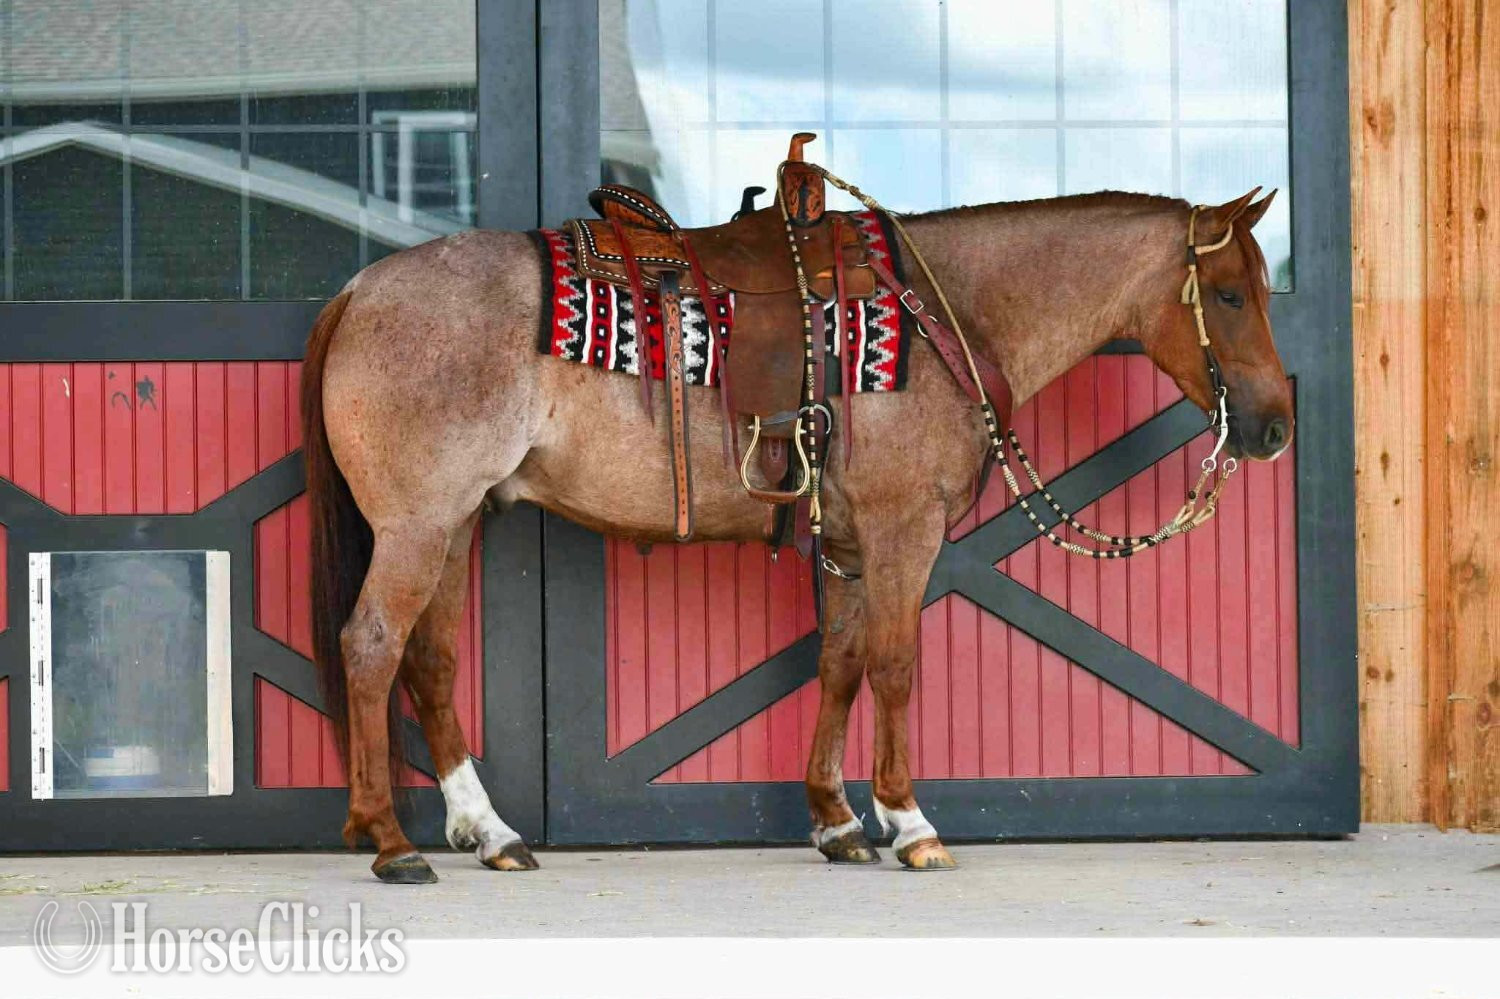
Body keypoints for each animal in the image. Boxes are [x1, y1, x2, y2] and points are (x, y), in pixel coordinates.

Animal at [300, 185, 1291, 882]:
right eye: (1229, 296)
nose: (1275, 426)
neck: (947, 313)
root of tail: (358, 288)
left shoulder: (850, 546)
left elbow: (841, 662)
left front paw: (838, 820)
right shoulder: (901, 530)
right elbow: (894, 663)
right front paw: (910, 822)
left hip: (457, 521)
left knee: (429, 663)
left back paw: (490, 830)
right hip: (418, 524)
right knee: (372, 647)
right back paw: (390, 840)